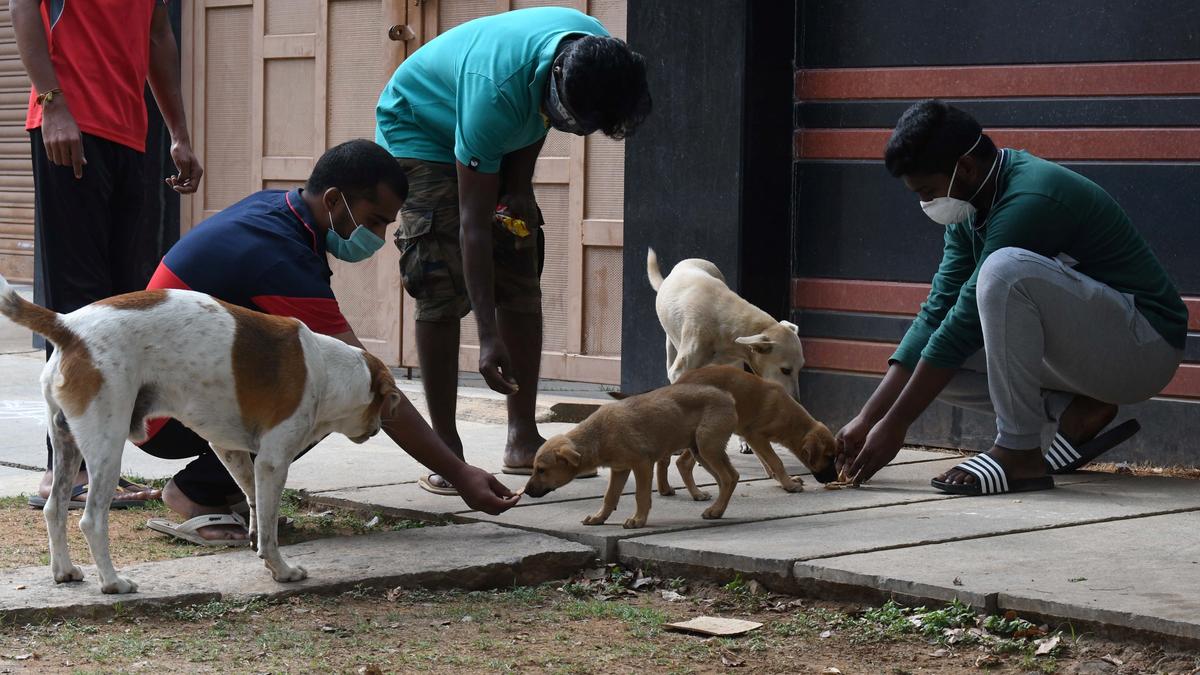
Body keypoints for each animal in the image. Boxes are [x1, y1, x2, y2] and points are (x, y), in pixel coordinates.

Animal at [0, 271, 403, 588]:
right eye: (383, 405)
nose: (378, 428)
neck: (326, 371)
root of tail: (68, 326)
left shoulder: (229, 448)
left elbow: (254, 499)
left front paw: (254, 536)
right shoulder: (274, 460)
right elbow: (270, 525)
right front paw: (281, 570)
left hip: (66, 443)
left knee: (54, 508)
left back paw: (65, 572)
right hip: (106, 447)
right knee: (91, 519)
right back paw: (113, 582)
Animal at [525, 381, 739, 528]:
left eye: (541, 470)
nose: (525, 491)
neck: (599, 436)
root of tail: (728, 396)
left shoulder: (642, 464)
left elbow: (641, 495)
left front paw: (638, 520)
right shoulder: (619, 469)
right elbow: (610, 496)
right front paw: (599, 518)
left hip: (707, 447)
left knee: (728, 478)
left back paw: (716, 509)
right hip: (701, 451)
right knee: (731, 477)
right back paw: (717, 510)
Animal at [662, 362, 840, 494]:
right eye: (829, 457)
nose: (835, 479)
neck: (792, 421)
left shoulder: (754, 439)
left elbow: (767, 463)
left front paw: (784, 481)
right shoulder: (756, 436)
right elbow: (776, 461)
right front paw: (789, 485)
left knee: (682, 462)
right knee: (681, 461)